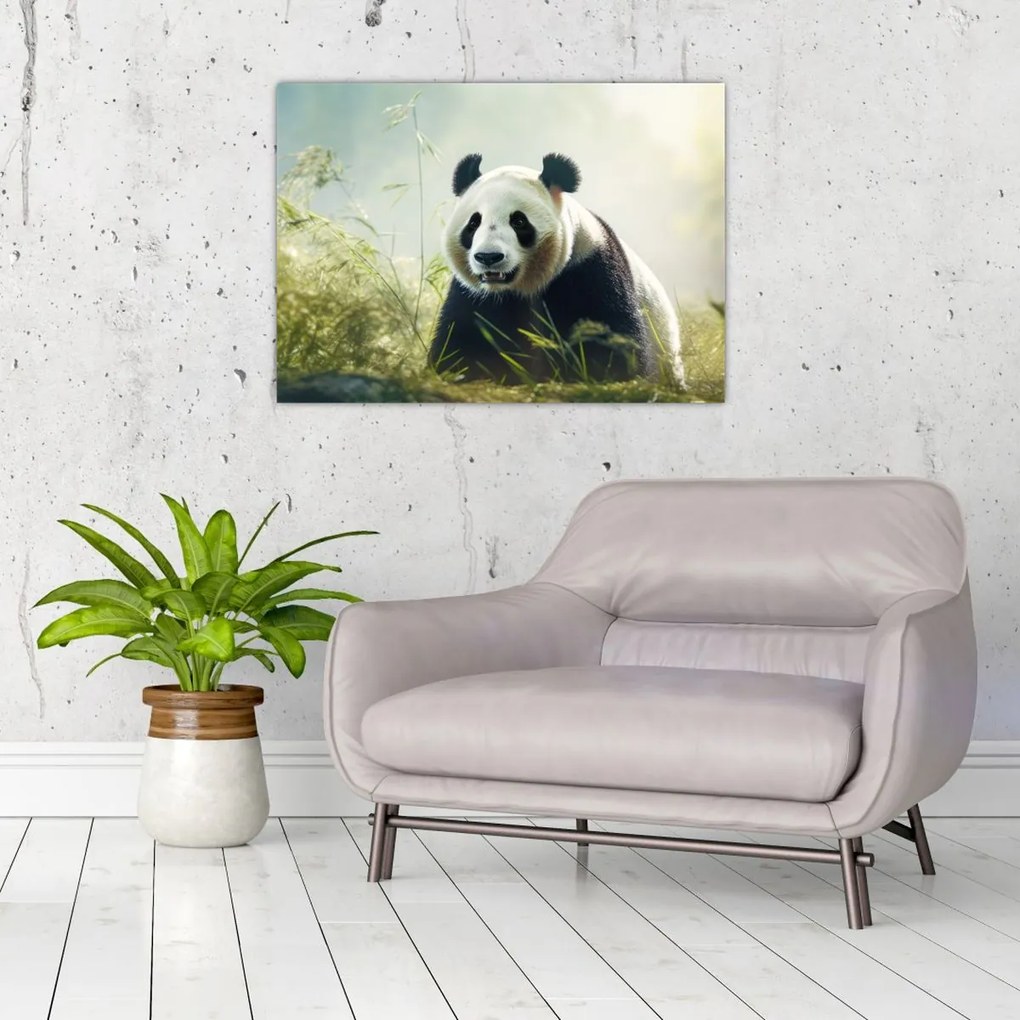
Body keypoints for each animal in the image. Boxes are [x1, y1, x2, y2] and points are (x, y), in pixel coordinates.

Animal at [430, 153, 684, 387]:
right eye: (474, 223)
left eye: (518, 221)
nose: (488, 257)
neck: (523, 286)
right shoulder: (475, 296)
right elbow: (462, 341)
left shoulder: (589, 270)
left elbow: (609, 341)